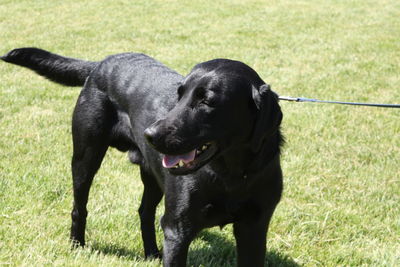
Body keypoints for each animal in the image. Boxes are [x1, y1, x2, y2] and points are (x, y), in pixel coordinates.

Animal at [1, 47, 282, 266]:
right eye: (179, 95)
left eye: (207, 101)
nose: (150, 134)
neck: (231, 174)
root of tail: (100, 63)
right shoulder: (177, 230)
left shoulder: (254, 229)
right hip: (85, 158)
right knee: (79, 207)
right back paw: (77, 246)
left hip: (152, 176)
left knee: (145, 212)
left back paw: (152, 253)